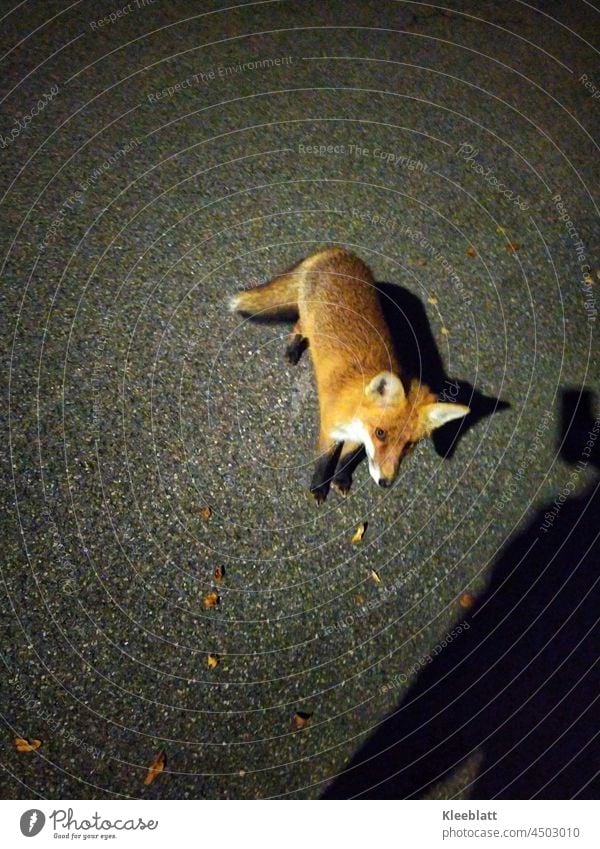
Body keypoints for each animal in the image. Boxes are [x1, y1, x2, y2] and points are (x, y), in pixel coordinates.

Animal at [229, 245, 468, 500]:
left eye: (409, 444)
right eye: (381, 433)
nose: (386, 482)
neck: (356, 415)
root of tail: (338, 251)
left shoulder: (357, 438)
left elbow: (347, 459)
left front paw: (341, 479)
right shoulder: (330, 429)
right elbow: (324, 462)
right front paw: (318, 488)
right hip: (307, 322)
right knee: (297, 327)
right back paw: (292, 350)